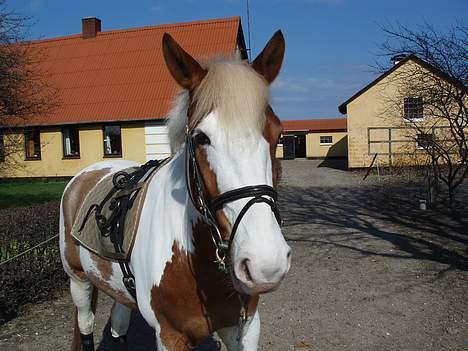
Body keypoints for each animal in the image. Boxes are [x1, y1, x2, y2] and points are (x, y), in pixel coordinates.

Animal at [60, 31, 290, 351]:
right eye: (201, 137)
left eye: (277, 133)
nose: (266, 264)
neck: (194, 258)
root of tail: (85, 174)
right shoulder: (170, 336)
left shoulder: (244, 327)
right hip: (78, 281)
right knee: (85, 325)